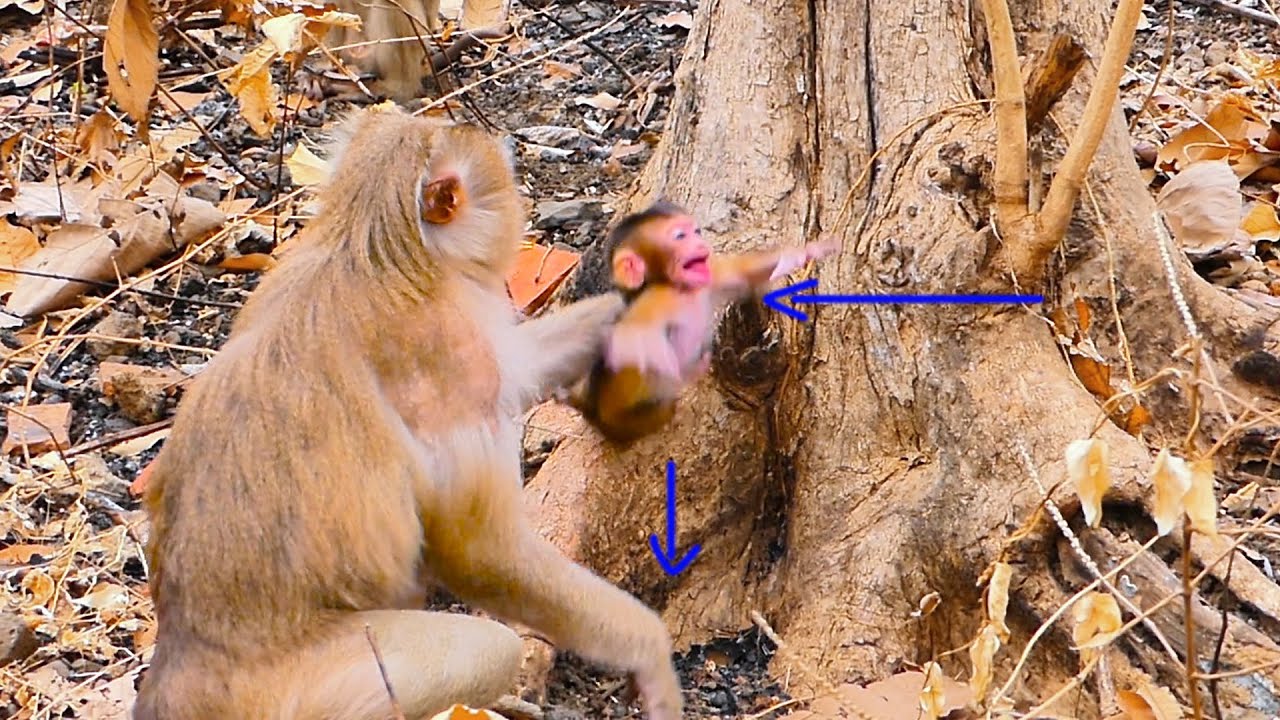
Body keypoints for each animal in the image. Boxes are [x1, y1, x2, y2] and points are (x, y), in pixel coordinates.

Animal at [132, 109, 683, 720]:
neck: (371, 242)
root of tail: (180, 666)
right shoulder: (452, 361)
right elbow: (480, 551)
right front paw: (650, 650)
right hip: (308, 687)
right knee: (491, 649)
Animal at [569, 202, 836, 444]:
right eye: (680, 236)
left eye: (696, 232)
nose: (701, 244)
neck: (680, 289)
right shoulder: (655, 301)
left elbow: (740, 272)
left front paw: (806, 252)